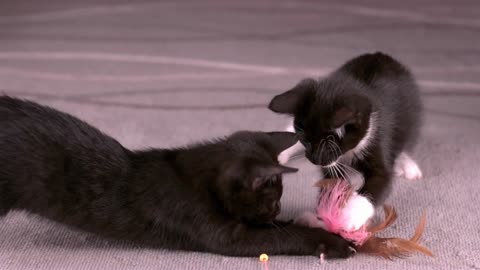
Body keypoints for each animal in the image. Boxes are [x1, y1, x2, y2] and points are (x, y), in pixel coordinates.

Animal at [270, 51, 424, 227]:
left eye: (329, 145)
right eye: (306, 140)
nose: (313, 159)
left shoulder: (380, 137)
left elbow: (380, 180)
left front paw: (348, 216)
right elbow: (331, 182)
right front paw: (322, 217)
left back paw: (407, 165)